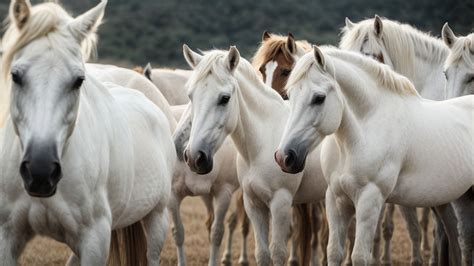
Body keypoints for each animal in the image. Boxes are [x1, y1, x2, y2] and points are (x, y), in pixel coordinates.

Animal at [0, 1, 175, 264]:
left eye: (78, 80)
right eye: (16, 75)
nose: (40, 171)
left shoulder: (95, 240)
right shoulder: (7, 236)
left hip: (157, 217)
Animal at [180, 45, 328, 266]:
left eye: (224, 98)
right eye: (191, 96)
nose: (194, 157)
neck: (261, 144)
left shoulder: (280, 203)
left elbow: (278, 252)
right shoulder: (253, 204)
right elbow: (262, 253)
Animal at [274, 46, 474, 266]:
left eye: (319, 98)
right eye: (289, 95)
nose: (285, 157)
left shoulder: (370, 198)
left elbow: (360, 255)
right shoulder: (335, 199)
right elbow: (334, 252)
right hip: (457, 200)